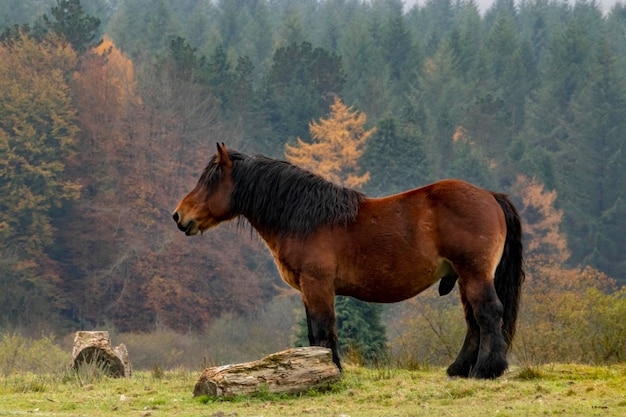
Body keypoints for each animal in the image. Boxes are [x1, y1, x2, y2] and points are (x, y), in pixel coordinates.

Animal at [171, 142, 520, 376]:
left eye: (211, 180)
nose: (178, 216)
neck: (306, 219)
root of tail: (491, 196)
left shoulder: (317, 285)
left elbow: (323, 330)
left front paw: (329, 372)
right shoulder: (310, 290)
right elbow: (315, 332)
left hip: (474, 274)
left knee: (488, 314)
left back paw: (487, 369)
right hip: (464, 277)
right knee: (473, 321)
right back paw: (459, 368)